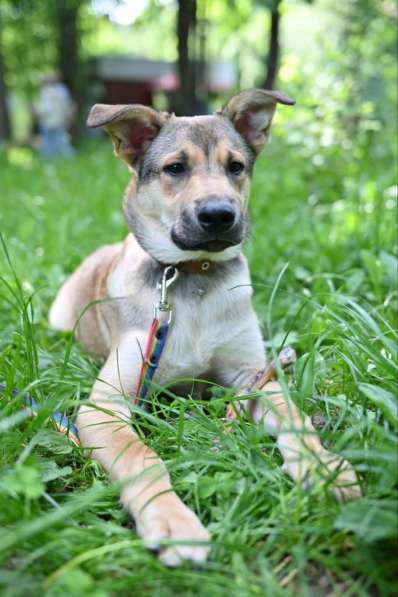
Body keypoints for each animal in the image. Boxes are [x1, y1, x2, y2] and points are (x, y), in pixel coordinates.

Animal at [49, 91, 360, 564]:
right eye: (175, 167)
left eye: (236, 166)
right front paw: (172, 521)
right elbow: (141, 457)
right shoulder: (105, 406)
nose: (219, 215)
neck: (193, 277)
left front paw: (323, 468)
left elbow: (294, 418)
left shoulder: (252, 374)